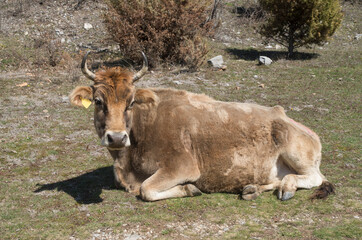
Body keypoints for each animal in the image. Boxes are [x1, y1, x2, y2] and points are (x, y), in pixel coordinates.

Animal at [69, 51, 336, 202]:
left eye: (131, 102)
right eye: (98, 101)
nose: (116, 137)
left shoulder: (182, 167)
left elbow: (146, 189)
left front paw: (189, 189)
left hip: (296, 152)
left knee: (314, 177)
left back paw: (287, 188)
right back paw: (252, 189)